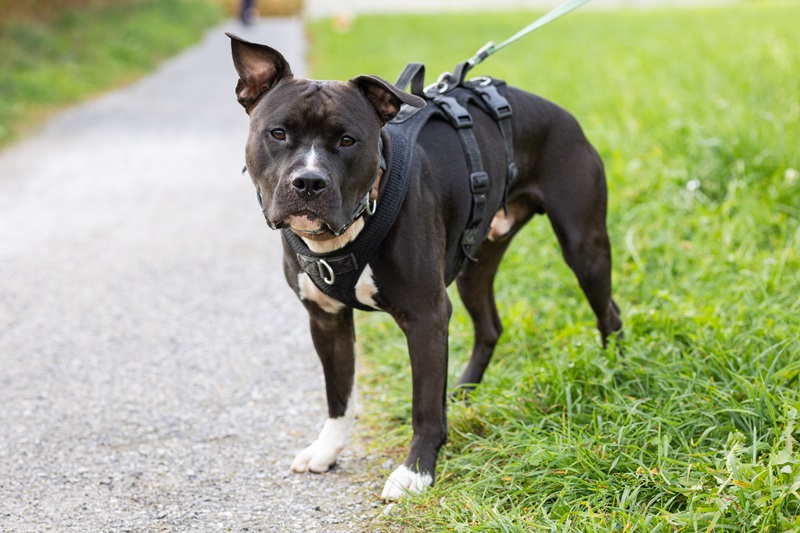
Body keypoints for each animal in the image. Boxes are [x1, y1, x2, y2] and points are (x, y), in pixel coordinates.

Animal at [227, 33, 622, 500]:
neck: (347, 230)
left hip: (584, 247)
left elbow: (423, 406)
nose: (308, 182)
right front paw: (327, 450)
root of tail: (562, 113)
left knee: (609, 312)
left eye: (348, 140)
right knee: (489, 326)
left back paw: (616, 374)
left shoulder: (426, 317)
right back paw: (463, 392)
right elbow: (339, 395)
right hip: (475, 263)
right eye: (278, 133)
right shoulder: (326, 319)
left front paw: (415, 472)